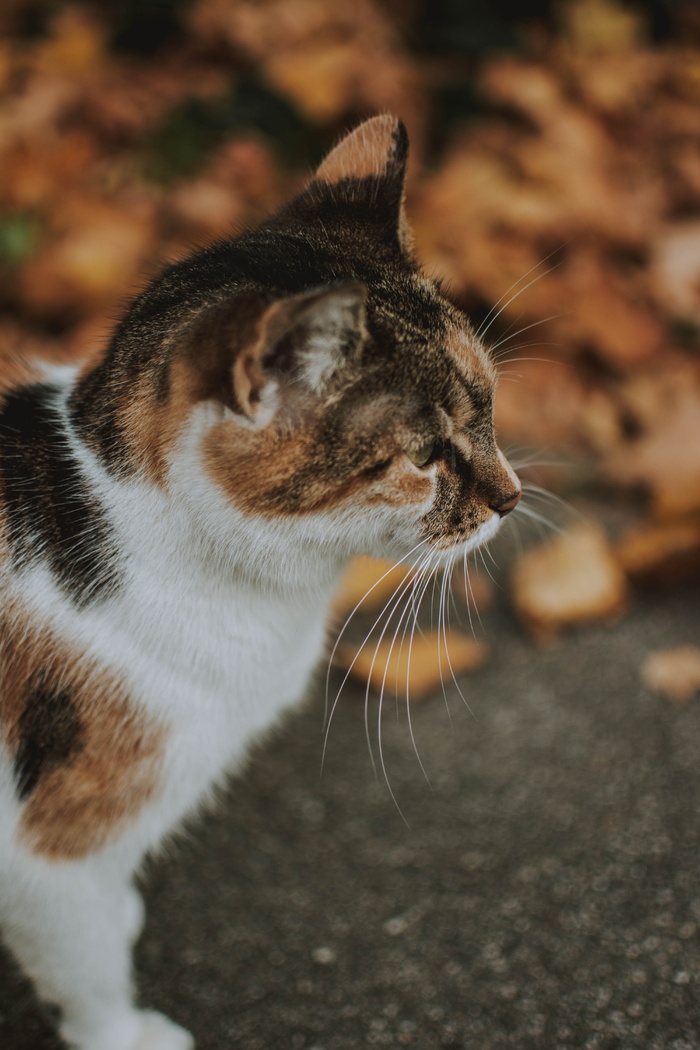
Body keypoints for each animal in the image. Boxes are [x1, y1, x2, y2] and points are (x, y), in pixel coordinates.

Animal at [0, 114, 520, 1050]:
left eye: (491, 404)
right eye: (426, 456)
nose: (513, 497)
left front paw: (121, 917)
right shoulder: (43, 855)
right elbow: (83, 964)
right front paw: (125, 1032)